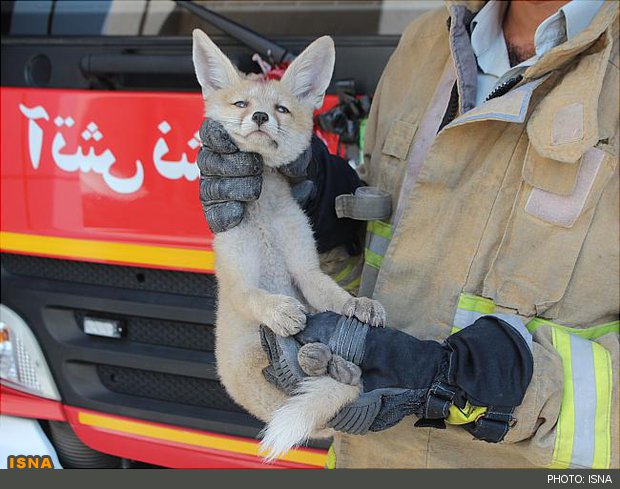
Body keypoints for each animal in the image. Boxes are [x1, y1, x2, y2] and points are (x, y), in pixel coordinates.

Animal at [193, 29, 388, 458]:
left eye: (281, 108)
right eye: (242, 103)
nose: (260, 117)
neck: (265, 223)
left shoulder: (306, 270)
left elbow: (335, 297)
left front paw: (359, 304)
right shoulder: (237, 281)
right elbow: (256, 297)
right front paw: (281, 310)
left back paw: (335, 367)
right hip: (252, 354)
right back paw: (315, 361)